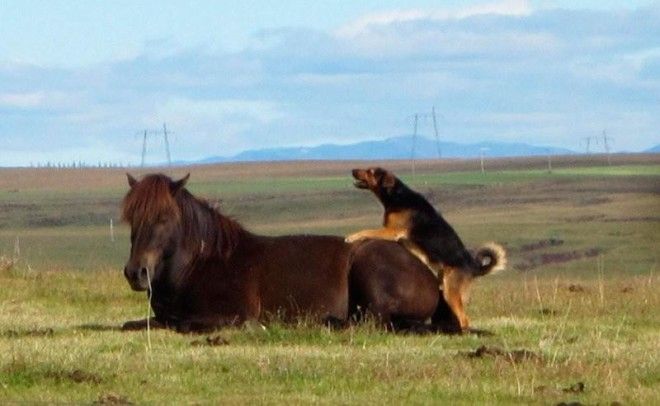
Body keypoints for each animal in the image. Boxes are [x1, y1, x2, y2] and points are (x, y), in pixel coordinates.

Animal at [120, 172, 458, 334]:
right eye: (131, 218)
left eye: (163, 217)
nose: (136, 273)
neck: (201, 264)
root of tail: (430, 274)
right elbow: (138, 323)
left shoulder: (228, 315)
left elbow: (182, 324)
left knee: (369, 322)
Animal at [342, 167, 508, 332]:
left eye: (370, 171)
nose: (353, 170)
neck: (396, 195)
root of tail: (474, 266)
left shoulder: (391, 231)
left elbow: (367, 230)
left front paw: (352, 236)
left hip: (451, 292)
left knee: (464, 320)